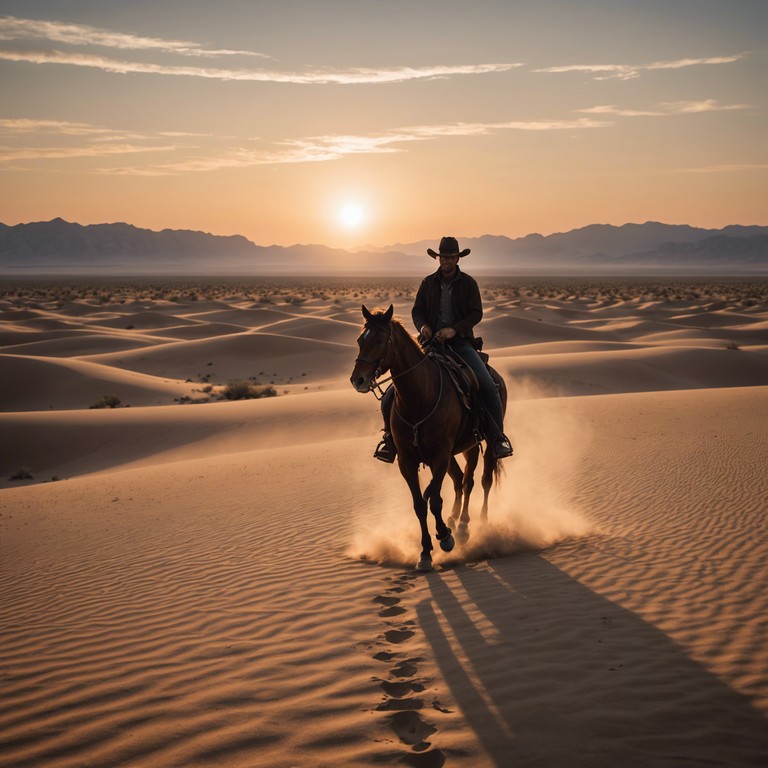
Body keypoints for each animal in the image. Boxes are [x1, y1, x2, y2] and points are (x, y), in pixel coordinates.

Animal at [352, 304, 508, 572]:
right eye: (361, 340)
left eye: (380, 340)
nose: (357, 379)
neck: (419, 397)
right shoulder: (407, 461)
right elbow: (419, 504)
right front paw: (425, 552)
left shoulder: (440, 456)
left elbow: (434, 499)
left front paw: (445, 537)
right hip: (462, 448)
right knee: (460, 480)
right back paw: (456, 521)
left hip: (483, 443)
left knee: (481, 480)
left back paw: (473, 524)